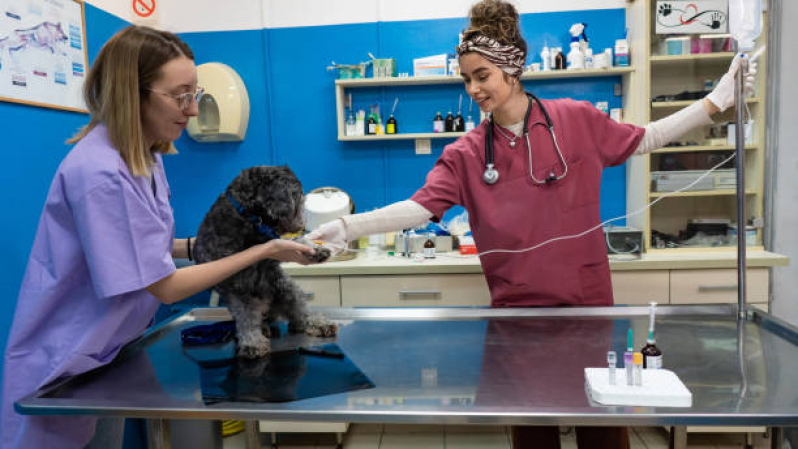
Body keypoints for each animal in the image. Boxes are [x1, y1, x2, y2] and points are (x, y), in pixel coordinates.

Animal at [195, 164, 336, 356]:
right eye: (299, 196)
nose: (302, 224)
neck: (246, 216)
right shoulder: (234, 285)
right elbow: (244, 315)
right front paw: (252, 341)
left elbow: (296, 241)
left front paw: (315, 248)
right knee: (256, 316)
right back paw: (262, 329)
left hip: (283, 286)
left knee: (299, 311)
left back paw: (317, 323)